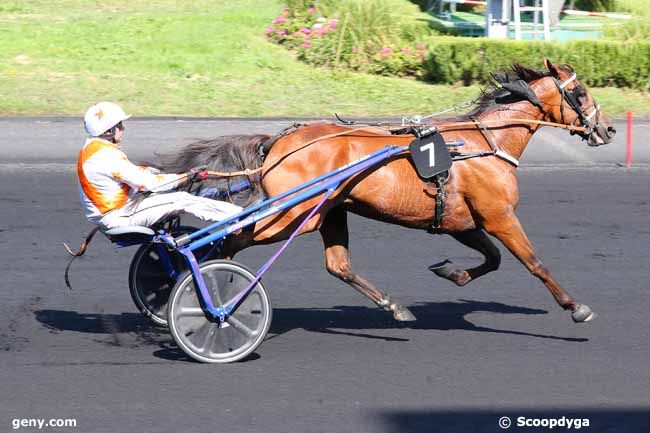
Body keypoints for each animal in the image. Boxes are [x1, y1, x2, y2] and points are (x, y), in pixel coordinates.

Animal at [161, 60, 612, 324]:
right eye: (581, 92)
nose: (606, 129)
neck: (485, 143)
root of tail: (279, 141)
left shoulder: (462, 222)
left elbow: (493, 259)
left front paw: (451, 271)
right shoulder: (499, 215)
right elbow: (534, 263)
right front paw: (576, 307)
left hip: (329, 210)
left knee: (338, 265)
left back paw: (394, 307)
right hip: (293, 214)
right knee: (231, 240)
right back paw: (210, 295)